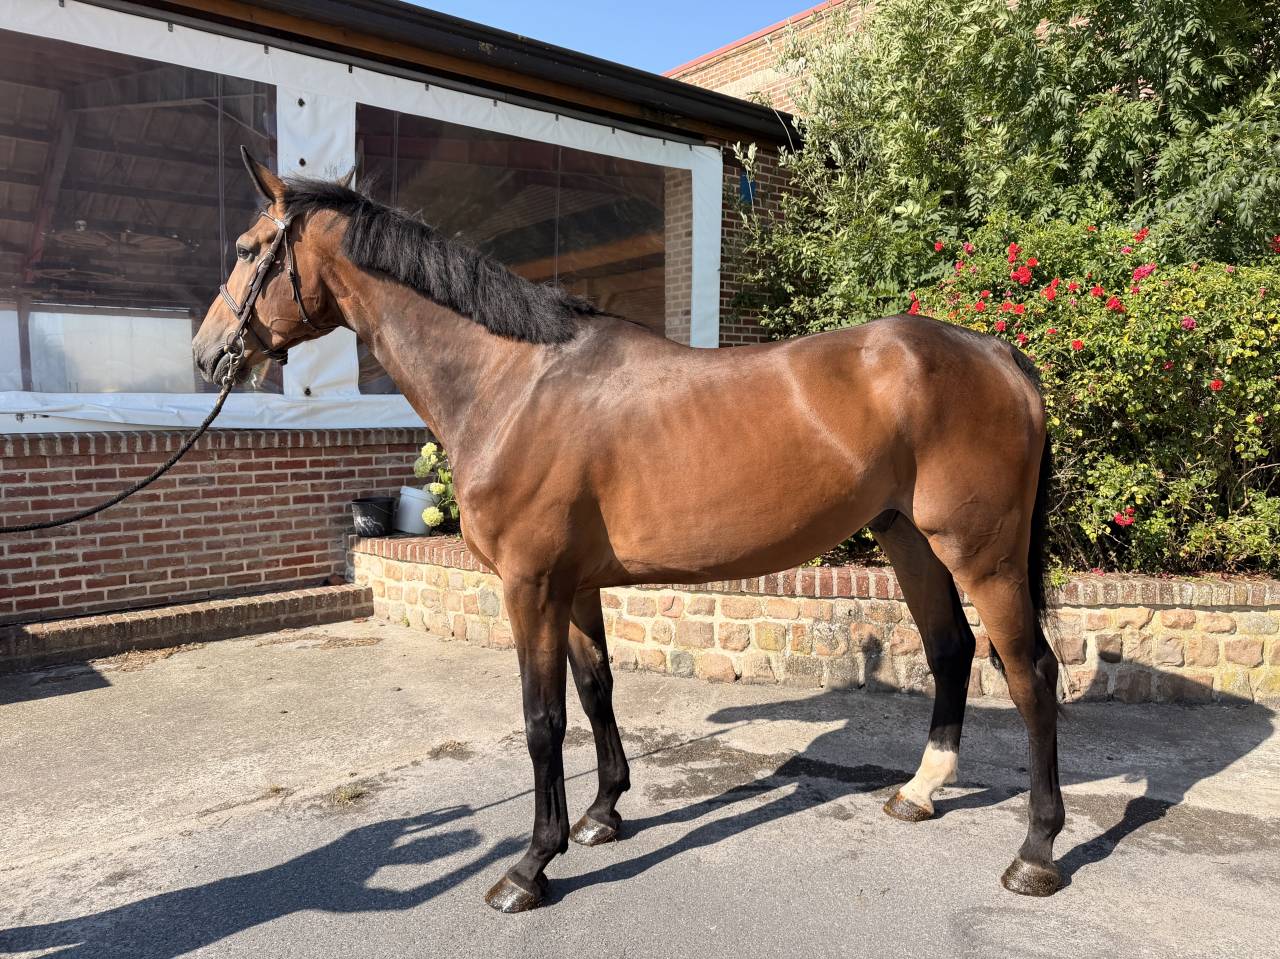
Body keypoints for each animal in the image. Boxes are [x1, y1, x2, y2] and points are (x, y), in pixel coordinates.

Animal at [192, 149, 1064, 912]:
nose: (205, 356)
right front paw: (603, 812)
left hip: (981, 552)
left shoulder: (530, 585)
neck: (513, 383)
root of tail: (997, 352)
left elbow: (542, 719)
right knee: (951, 648)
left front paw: (531, 864)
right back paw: (920, 791)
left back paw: (1035, 851)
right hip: (907, 535)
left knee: (1030, 672)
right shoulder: (574, 585)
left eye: (246, 250)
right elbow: (596, 690)